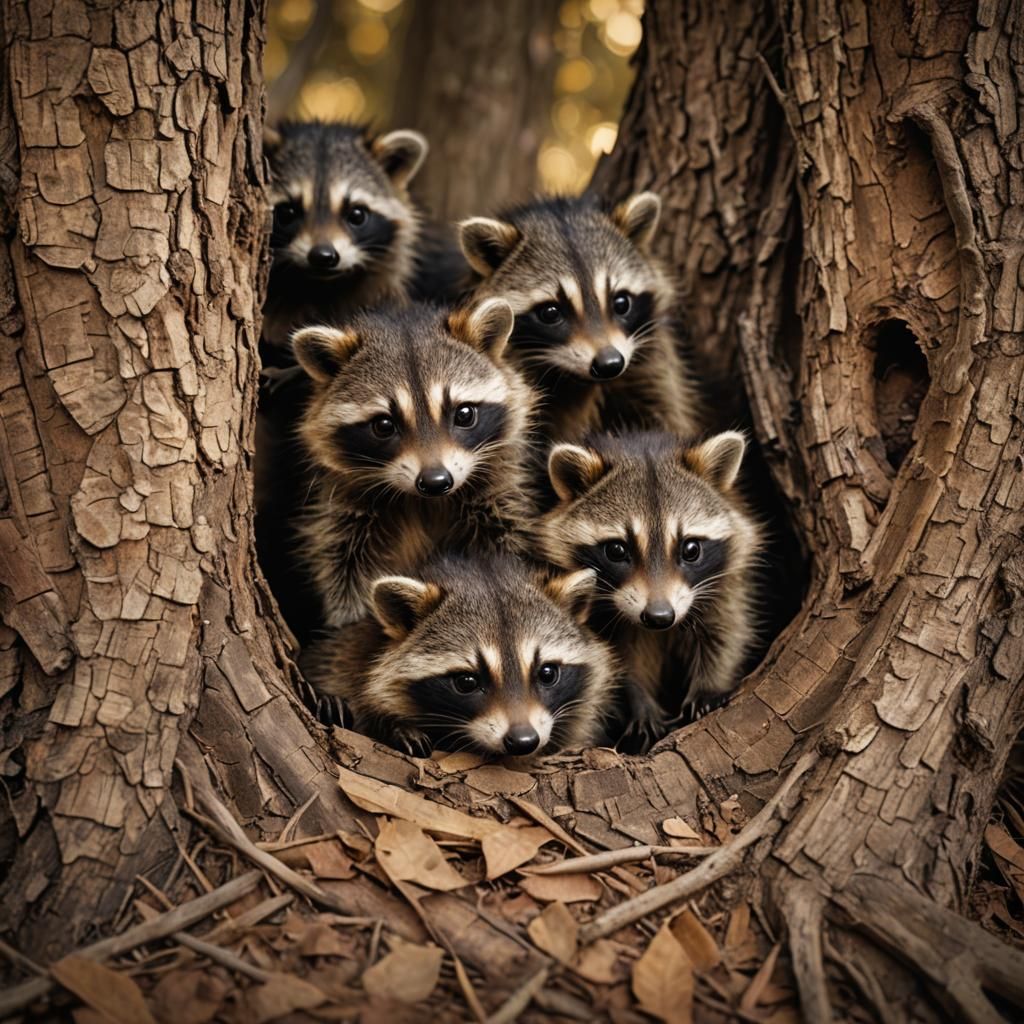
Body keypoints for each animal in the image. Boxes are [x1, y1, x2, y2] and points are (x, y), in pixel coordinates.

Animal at [292, 300, 537, 631]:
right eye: (384, 425)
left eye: (464, 414)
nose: (435, 481)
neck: (425, 502)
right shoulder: (347, 513)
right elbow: (343, 569)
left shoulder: (496, 494)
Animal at [537, 430, 762, 752]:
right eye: (617, 550)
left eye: (691, 549)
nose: (659, 616)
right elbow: (620, 660)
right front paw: (639, 703)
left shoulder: (726, 581)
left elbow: (728, 631)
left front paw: (710, 685)